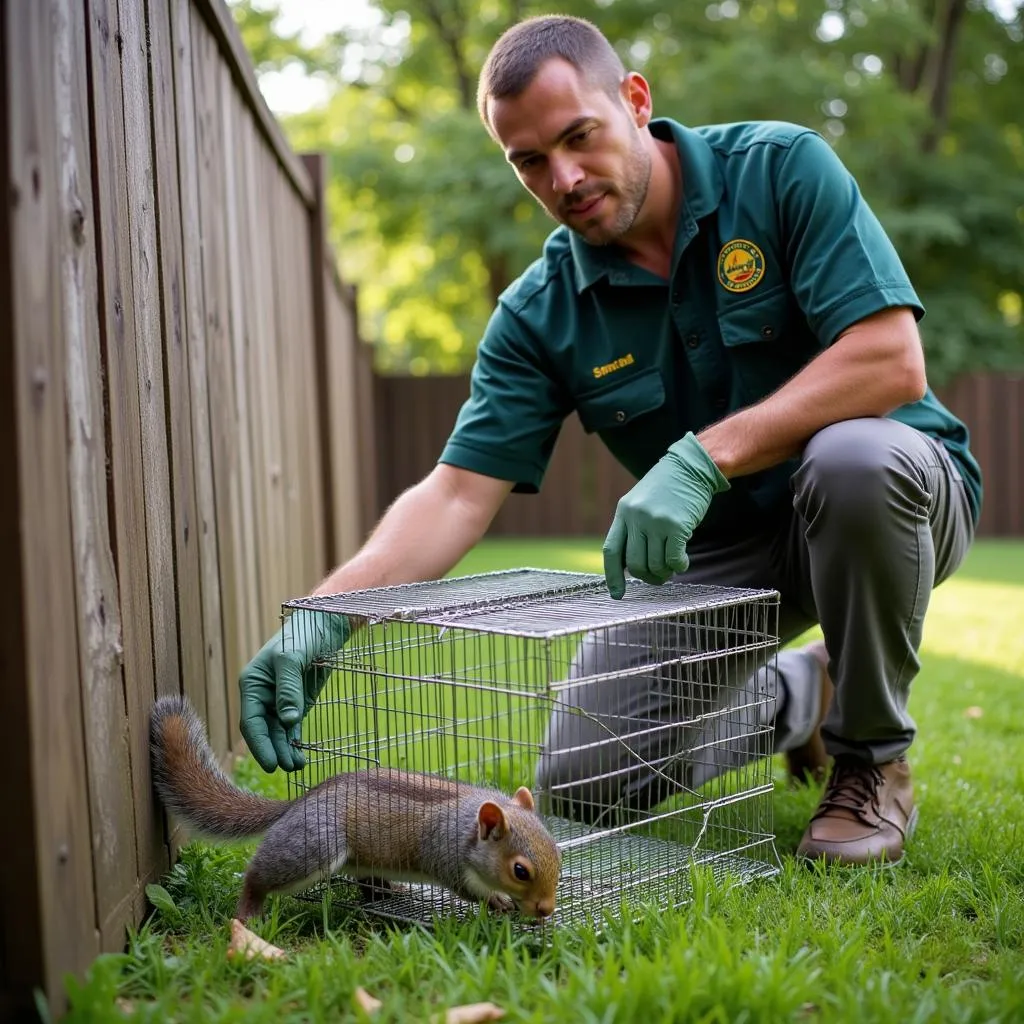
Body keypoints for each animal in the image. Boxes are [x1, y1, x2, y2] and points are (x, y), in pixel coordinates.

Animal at [148, 696, 565, 921]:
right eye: (520, 871)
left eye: (558, 856)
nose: (546, 909)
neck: (466, 826)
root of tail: (300, 803)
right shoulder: (443, 853)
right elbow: (465, 888)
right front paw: (496, 899)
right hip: (314, 845)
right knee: (258, 876)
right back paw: (248, 911)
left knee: (368, 883)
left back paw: (390, 890)